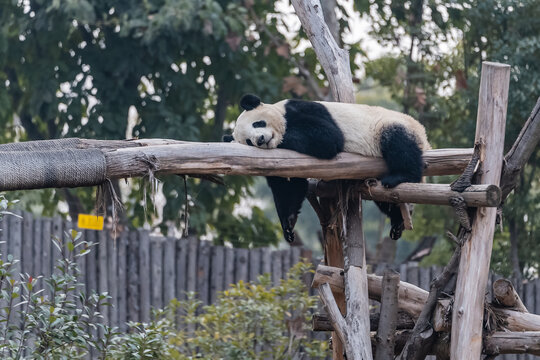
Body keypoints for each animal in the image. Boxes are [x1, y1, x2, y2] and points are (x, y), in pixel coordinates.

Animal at [223, 94, 430, 243]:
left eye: (258, 123)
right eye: (248, 141)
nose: (260, 140)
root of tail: (425, 137)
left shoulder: (302, 110)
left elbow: (327, 138)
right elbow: (288, 187)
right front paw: (288, 224)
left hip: (388, 126)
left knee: (398, 142)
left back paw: (400, 177)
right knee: (385, 199)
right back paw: (397, 222)